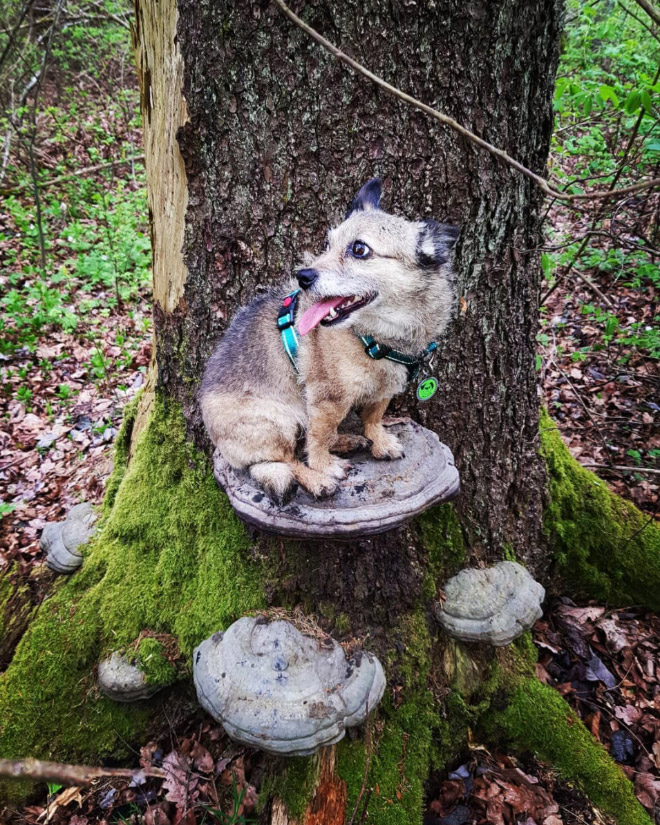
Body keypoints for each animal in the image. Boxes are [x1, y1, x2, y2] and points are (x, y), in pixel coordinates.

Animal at [200, 179, 458, 502]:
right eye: (327, 244)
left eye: (359, 249)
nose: (303, 276)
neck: (376, 337)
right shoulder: (327, 399)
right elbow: (319, 438)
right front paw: (324, 467)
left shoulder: (383, 391)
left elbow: (373, 417)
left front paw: (379, 440)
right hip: (277, 421)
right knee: (288, 458)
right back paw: (316, 479)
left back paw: (348, 441)